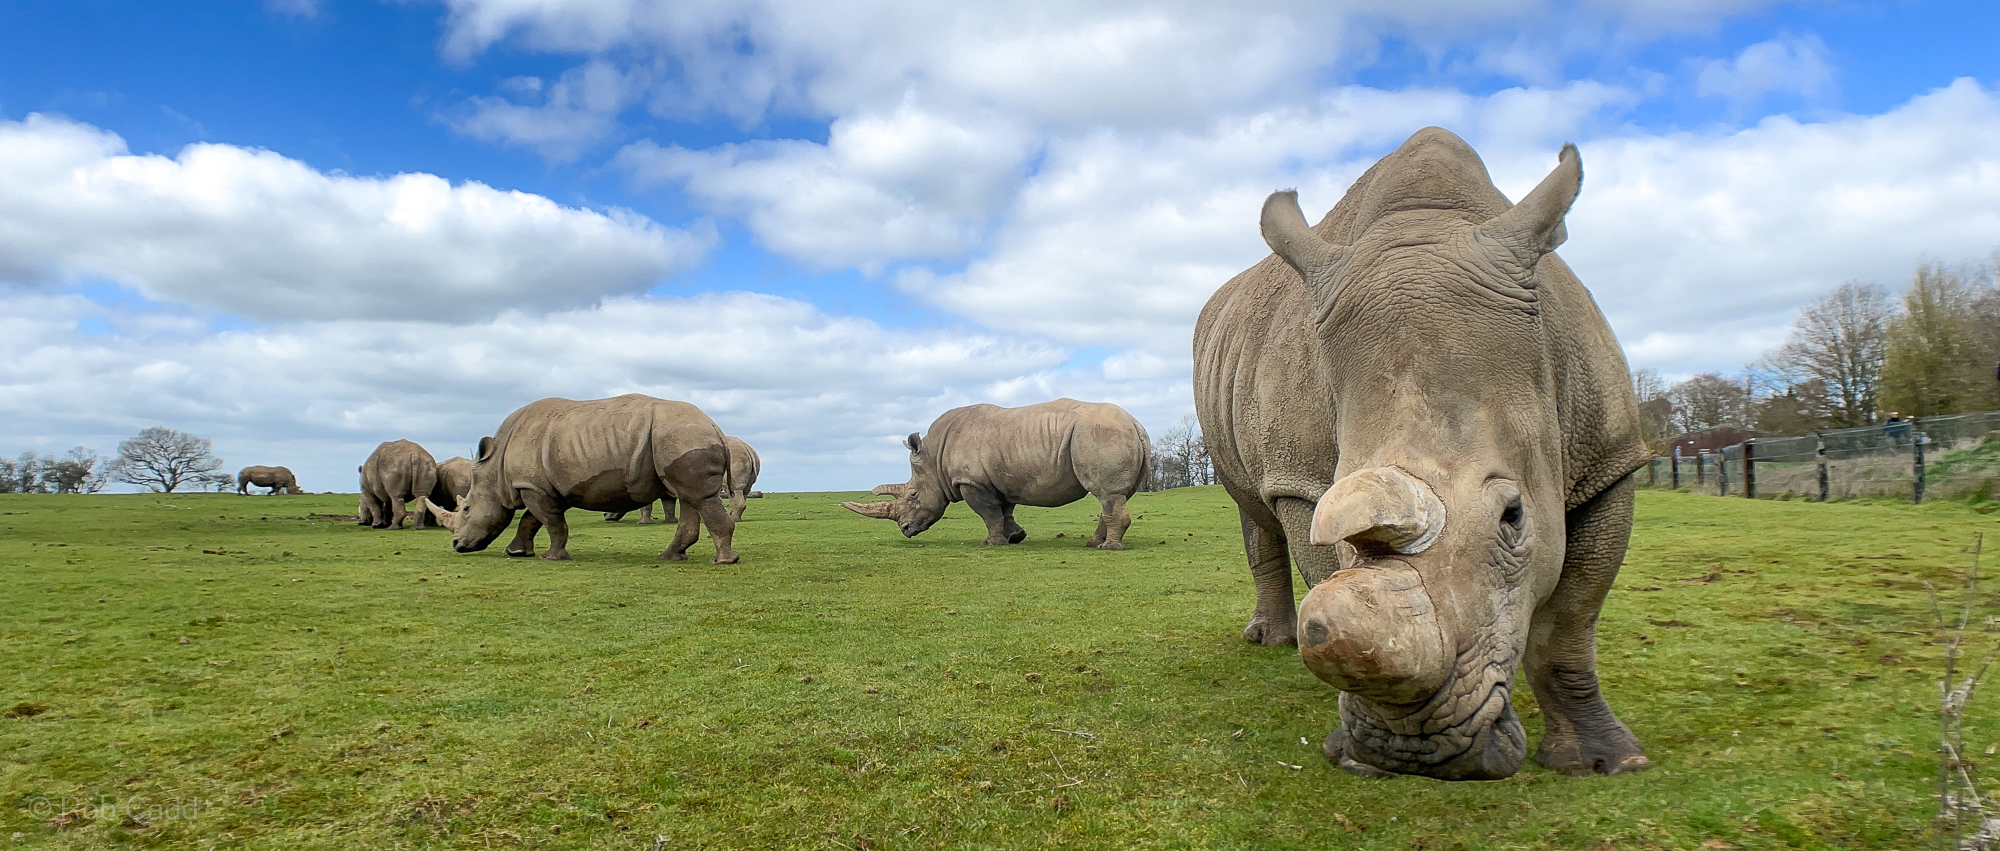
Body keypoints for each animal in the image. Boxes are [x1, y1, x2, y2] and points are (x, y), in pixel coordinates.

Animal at [425, 394, 739, 563]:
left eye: (466, 509)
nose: (457, 545)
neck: (494, 467)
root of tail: (715, 426)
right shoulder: (546, 486)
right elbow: (533, 519)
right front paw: (516, 552)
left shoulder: (532, 486)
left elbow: (550, 522)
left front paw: (551, 557)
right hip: (678, 438)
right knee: (689, 497)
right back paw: (670, 557)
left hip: (683, 436)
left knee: (698, 497)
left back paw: (722, 561)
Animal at [844, 399, 1150, 549]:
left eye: (913, 495)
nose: (905, 530)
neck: (934, 459)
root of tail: (1136, 423)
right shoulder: (1001, 479)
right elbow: (1004, 510)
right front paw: (1015, 537)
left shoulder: (972, 482)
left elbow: (988, 513)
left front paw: (991, 543)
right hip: (1109, 434)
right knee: (1113, 497)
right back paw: (1093, 544)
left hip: (1099, 435)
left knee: (1107, 494)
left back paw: (1109, 548)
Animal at [1192, 128, 1649, 781]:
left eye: (1514, 517)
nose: (1412, 749)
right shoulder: (1299, 479)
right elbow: (1330, 576)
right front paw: (1356, 759)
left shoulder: (1610, 458)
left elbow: (1570, 624)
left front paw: (1606, 763)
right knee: (1253, 510)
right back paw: (1268, 641)